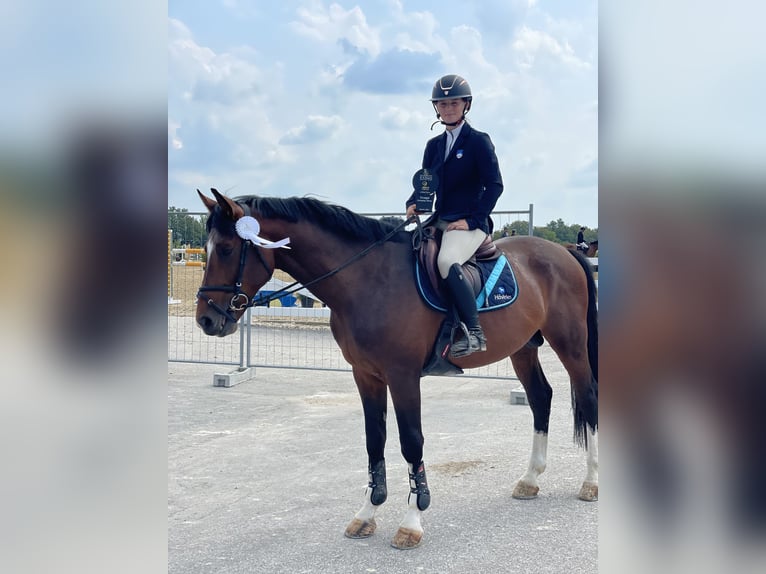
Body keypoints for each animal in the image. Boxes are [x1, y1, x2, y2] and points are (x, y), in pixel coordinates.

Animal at [194, 190, 600, 552]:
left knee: (588, 396)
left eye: (227, 249)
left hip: (571, 343)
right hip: (523, 349)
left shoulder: (402, 376)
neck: (366, 279)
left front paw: (411, 522)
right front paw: (367, 513)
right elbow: (375, 440)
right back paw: (530, 479)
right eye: (208, 250)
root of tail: (563, 252)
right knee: (541, 398)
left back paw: (591, 482)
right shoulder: (366, 375)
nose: (206, 320)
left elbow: (411, 442)